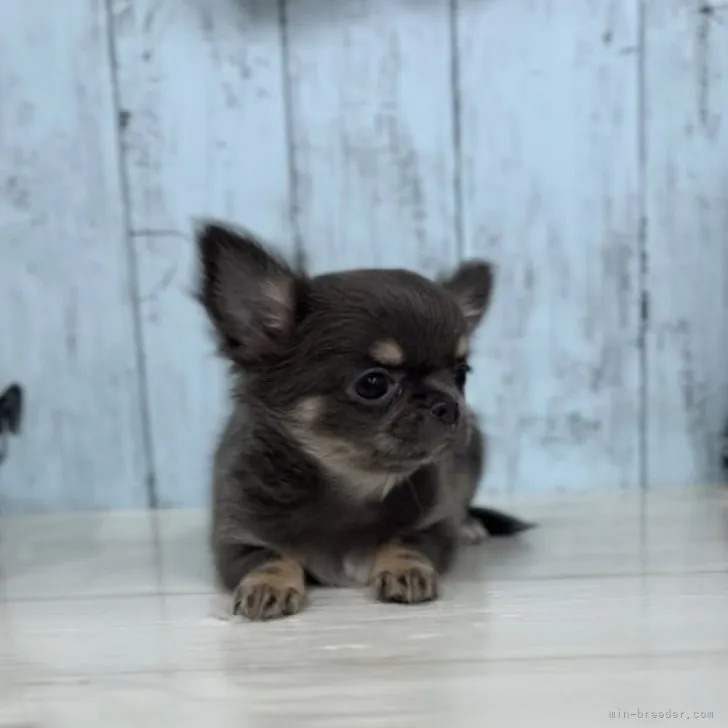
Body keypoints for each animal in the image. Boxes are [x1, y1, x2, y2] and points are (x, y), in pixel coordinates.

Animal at [196, 220, 532, 620]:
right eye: (373, 384)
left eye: (460, 375)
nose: (449, 406)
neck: (354, 485)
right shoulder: (236, 537)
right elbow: (269, 558)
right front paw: (268, 584)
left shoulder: (433, 525)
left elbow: (407, 543)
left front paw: (406, 569)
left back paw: (469, 525)